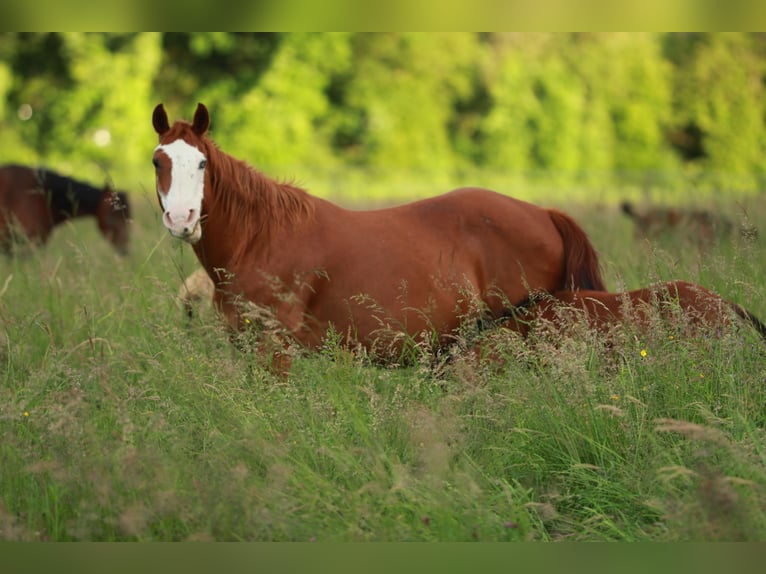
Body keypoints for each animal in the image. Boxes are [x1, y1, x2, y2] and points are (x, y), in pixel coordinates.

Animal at [152, 102, 606, 369]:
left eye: (202, 163)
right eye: (158, 161)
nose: (181, 219)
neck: (260, 240)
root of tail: (546, 215)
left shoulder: (274, 348)